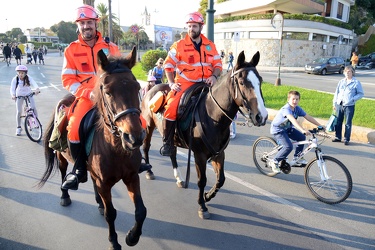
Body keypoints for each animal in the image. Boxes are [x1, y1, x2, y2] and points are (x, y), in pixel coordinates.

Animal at [38, 47, 147, 249]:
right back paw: (65, 194)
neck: (115, 148)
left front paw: (132, 237)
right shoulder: (104, 183)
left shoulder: (132, 177)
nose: (134, 137)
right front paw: (114, 242)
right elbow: (111, 214)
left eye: (137, 88)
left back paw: (98, 202)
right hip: (62, 157)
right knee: (64, 173)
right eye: (108, 92)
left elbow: (141, 211)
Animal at [140, 50, 268, 219]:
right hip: (148, 127)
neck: (212, 114)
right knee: (146, 147)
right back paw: (149, 171)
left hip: (171, 138)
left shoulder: (218, 154)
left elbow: (221, 179)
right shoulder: (199, 155)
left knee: (172, 152)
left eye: (260, 81)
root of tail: (152, 89)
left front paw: (207, 196)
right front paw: (202, 205)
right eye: (241, 82)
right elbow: (202, 180)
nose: (262, 116)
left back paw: (179, 178)